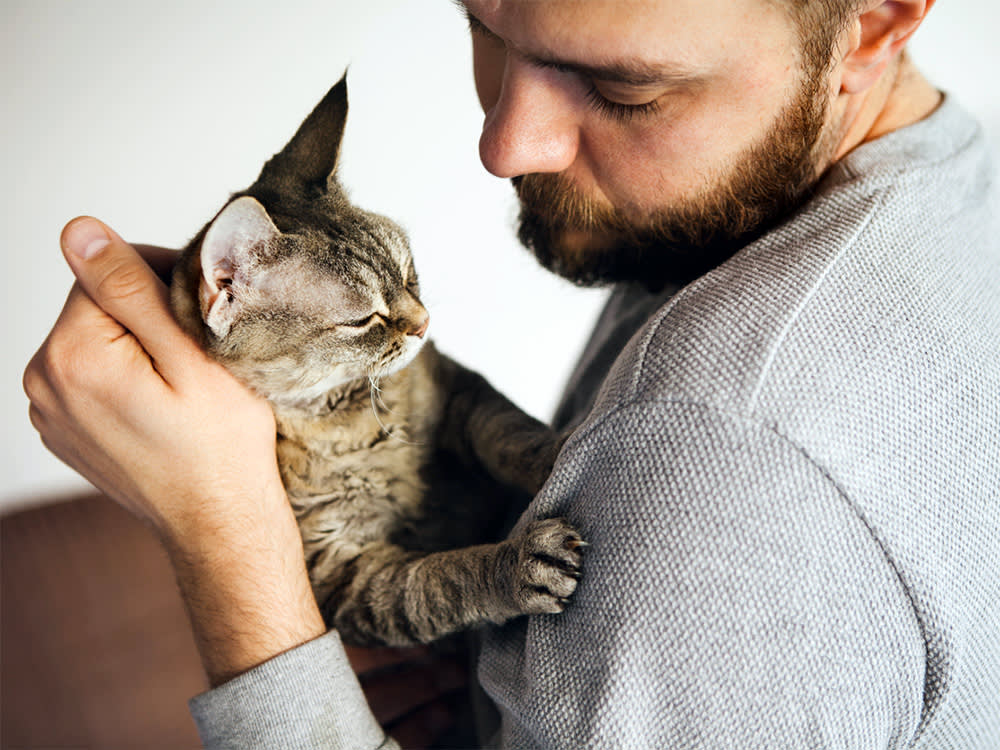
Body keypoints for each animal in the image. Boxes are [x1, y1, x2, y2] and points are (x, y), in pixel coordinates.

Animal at [168, 76, 584, 648]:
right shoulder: (346, 570)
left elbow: (512, 433)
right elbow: (440, 582)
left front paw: (560, 449)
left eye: (409, 273)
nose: (424, 323)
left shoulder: (460, 392)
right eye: (365, 318)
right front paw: (516, 564)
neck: (358, 415)